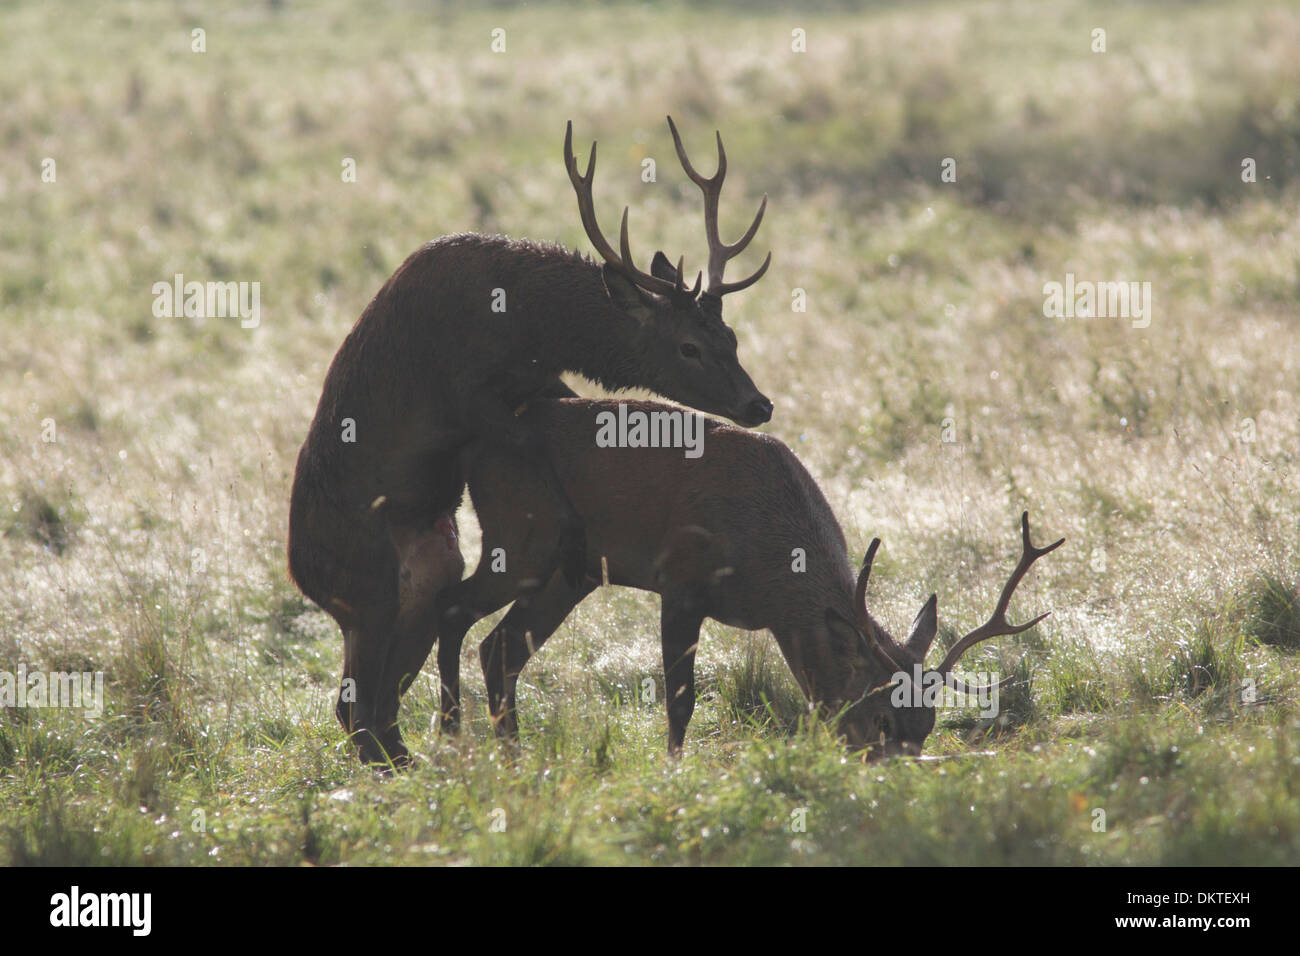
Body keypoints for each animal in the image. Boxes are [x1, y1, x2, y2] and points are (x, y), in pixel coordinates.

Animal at [288, 118, 772, 767]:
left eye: (732, 336)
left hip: (428, 569)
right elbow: (532, 445)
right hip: (365, 586)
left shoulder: (540, 380)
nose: (759, 404)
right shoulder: (465, 389)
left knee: (373, 703)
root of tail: (301, 576)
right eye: (687, 347)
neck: (530, 324)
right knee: (357, 712)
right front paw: (569, 528)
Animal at [439, 398, 1064, 758]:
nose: (897, 771)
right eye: (881, 717)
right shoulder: (681, 580)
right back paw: (453, 737)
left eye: (929, 724)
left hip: (574, 572)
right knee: (452, 608)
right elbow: (681, 700)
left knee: (499, 647)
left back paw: (513, 758)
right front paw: (672, 771)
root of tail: (472, 445)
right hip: (521, 533)